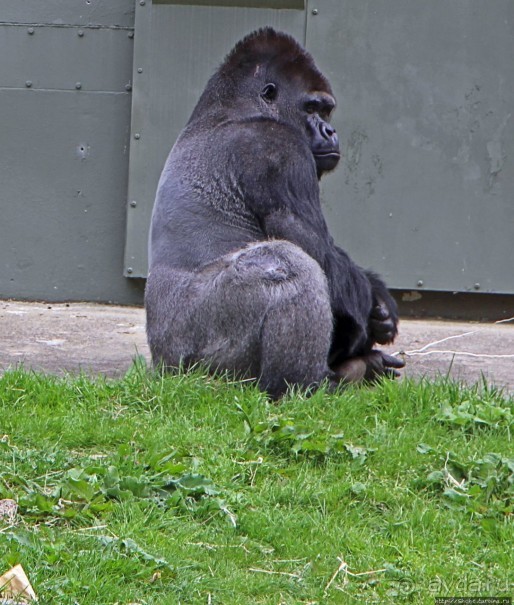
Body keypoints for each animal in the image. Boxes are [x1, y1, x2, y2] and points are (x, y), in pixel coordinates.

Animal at [143, 28, 400, 398]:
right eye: (311, 107)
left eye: (327, 111)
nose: (329, 131)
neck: (234, 108)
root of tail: (160, 362)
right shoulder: (279, 149)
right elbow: (313, 249)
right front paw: (373, 309)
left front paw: (379, 300)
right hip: (195, 358)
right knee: (289, 263)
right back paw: (306, 384)